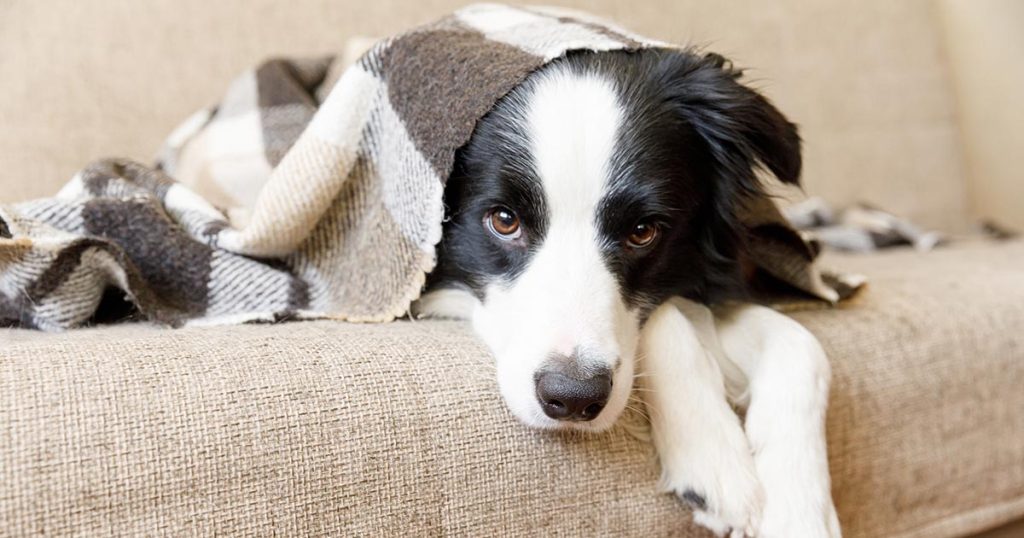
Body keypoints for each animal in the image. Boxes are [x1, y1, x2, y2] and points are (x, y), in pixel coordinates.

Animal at [415, 49, 839, 536]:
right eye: (504, 220)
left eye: (642, 231)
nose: (573, 398)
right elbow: (669, 317)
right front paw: (713, 455)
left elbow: (804, 347)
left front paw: (801, 510)